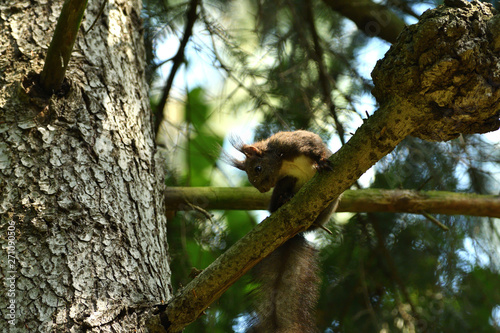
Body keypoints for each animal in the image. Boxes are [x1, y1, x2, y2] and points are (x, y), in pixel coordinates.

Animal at [231, 130, 340, 332]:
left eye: (257, 168)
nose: (262, 189)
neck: (283, 162)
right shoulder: (285, 176)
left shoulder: (298, 143)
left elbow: (317, 151)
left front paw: (321, 161)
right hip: (286, 183)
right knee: (278, 200)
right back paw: (284, 199)